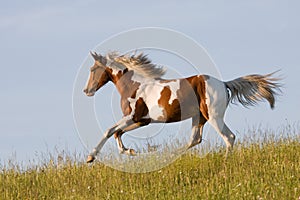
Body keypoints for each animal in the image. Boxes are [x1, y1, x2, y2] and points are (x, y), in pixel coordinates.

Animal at [82, 51, 282, 162]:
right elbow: (118, 133)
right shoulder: (141, 121)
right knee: (195, 139)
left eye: (92, 70)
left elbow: (109, 131)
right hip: (199, 117)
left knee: (229, 137)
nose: (86, 90)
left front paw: (91, 157)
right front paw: (130, 151)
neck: (134, 86)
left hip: (214, 117)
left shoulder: (132, 117)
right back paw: (167, 155)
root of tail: (224, 84)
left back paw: (225, 163)